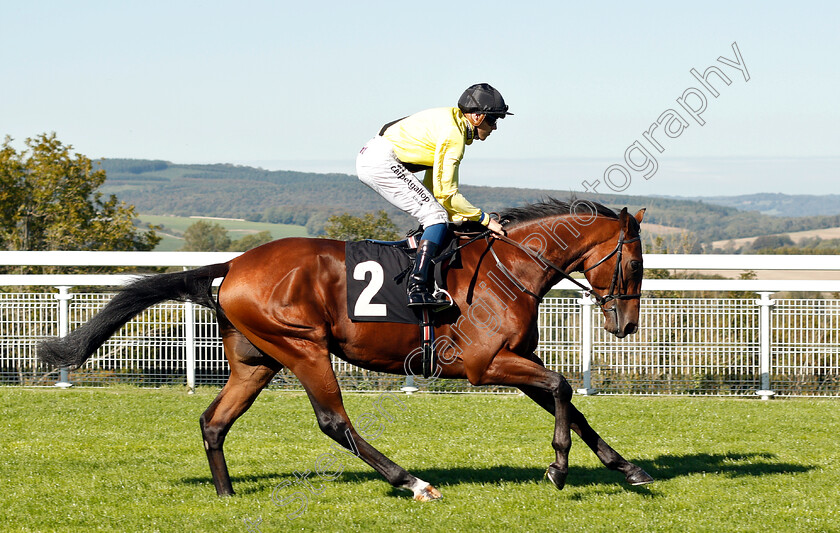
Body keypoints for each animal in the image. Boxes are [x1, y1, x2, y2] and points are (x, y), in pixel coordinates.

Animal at [39, 198, 652, 498]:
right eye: (635, 262)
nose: (625, 325)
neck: (511, 267)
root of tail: (233, 264)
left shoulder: (516, 358)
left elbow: (569, 402)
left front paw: (627, 468)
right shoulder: (484, 364)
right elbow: (562, 388)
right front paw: (558, 468)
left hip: (257, 361)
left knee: (214, 422)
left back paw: (226, 494)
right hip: (304, 347)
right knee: (334, 422)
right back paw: (412, 482)